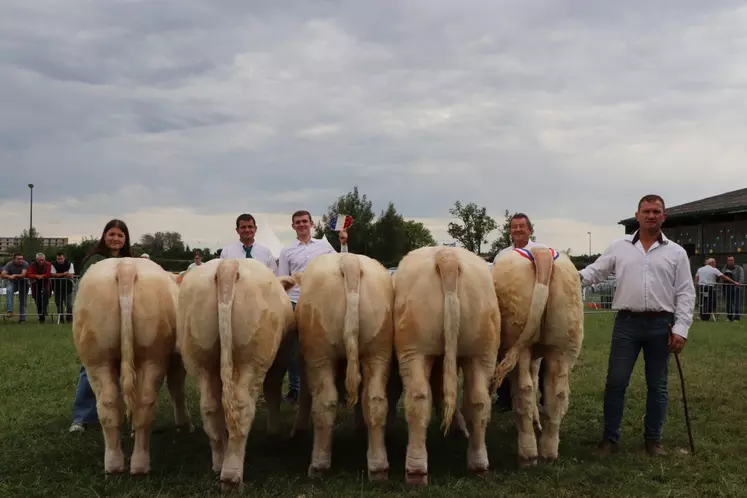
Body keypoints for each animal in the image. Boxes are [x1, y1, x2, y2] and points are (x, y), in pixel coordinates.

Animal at [72, 256, 194, 474]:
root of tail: (126, 266)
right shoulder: (176, 359)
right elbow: (177, 389)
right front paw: (185, 425)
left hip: (97, 358)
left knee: (111, 404)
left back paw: (117, 464)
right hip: (149, 355)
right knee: (141, 403)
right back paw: (137, 465)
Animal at [177, 256, 296, 490]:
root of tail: (228, 265)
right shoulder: (280, 357)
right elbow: (272, 391)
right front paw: (274, 433)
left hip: (200, 357)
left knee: (210, 406)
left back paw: (219, 462)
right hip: (252, 360)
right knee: (241, 407)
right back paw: (232, 475)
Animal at [288, 255, 398, 480]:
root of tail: (349, 260)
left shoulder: (304, 361)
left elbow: (305, 396)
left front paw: (299, 430)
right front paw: (359, 430)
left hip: (320, 355)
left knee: (325, 402)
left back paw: (318, 465)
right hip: (378, 351)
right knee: (374, 400)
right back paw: (378, 467)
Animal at [392, 247, 502, 484]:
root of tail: (447, 256)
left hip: (414, 350)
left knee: (418, 397)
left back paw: (415, 470)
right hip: (482, 351)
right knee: (478, 400)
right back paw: (478, 464)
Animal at [494, 247, 588, 468]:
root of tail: (542, 251)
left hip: (518, 345)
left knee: (523, 390)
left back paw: (528, 454)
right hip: (563, 347)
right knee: (557, 393)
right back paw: (548, 450)